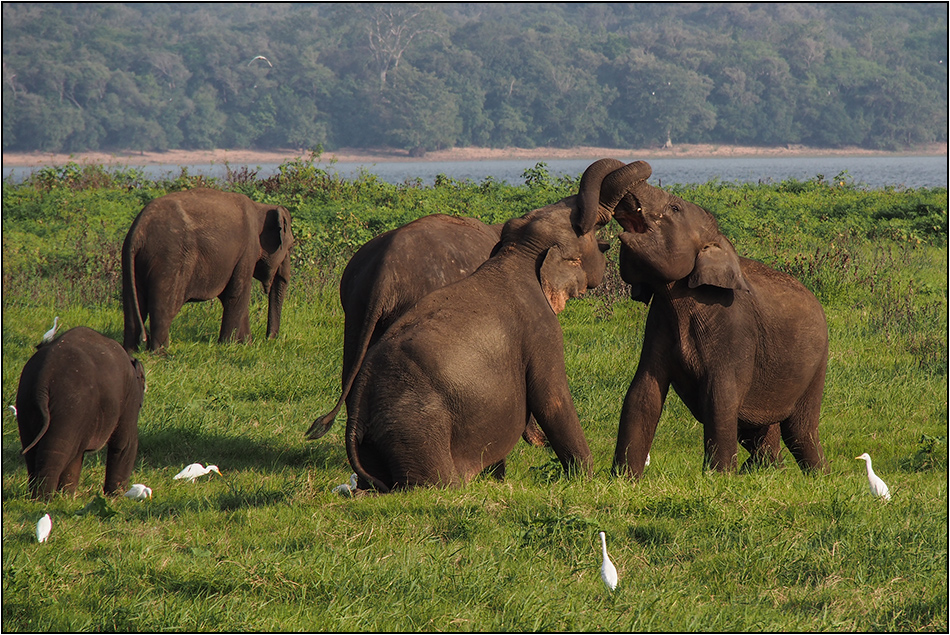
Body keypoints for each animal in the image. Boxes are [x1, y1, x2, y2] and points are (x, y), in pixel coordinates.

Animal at [15, 328, 147, 502]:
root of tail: (43, 380)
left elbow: (77, 456)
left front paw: (67, 498)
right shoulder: (129, 395)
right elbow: (125, 443)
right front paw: (116, 498)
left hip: (25, 401)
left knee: (32, 450)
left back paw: (38, 498)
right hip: (70, 408)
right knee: (56, 451)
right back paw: (44, 500)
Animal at [122, 186, 294, 356]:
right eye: (291, 246)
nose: (269, 339)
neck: (260, 207)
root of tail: (138, 231)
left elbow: (230, 295)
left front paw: (244, 345)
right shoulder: (247, 250)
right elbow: (236, 294)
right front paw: (227, 346)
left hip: (133, 261)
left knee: (133, 306)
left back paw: (131, 351)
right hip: (169, 259)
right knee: (164, 306)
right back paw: (161, 353)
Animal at [342, 158, 624, 492]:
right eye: (589, 233)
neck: (516, 254)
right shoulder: (542, 329)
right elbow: (552, 398)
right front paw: (587, 480)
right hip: (414, 425)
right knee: (436, 482)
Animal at [596, 159, 832, 476]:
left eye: (674, 209)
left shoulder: (734, 329)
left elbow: (720, 398)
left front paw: (718, 477)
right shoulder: (658, 322)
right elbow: (642, 394)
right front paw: (624, 479)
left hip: (816, 366)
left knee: (799, 430)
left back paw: (818, 477)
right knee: (759, 433)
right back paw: (764, 472)